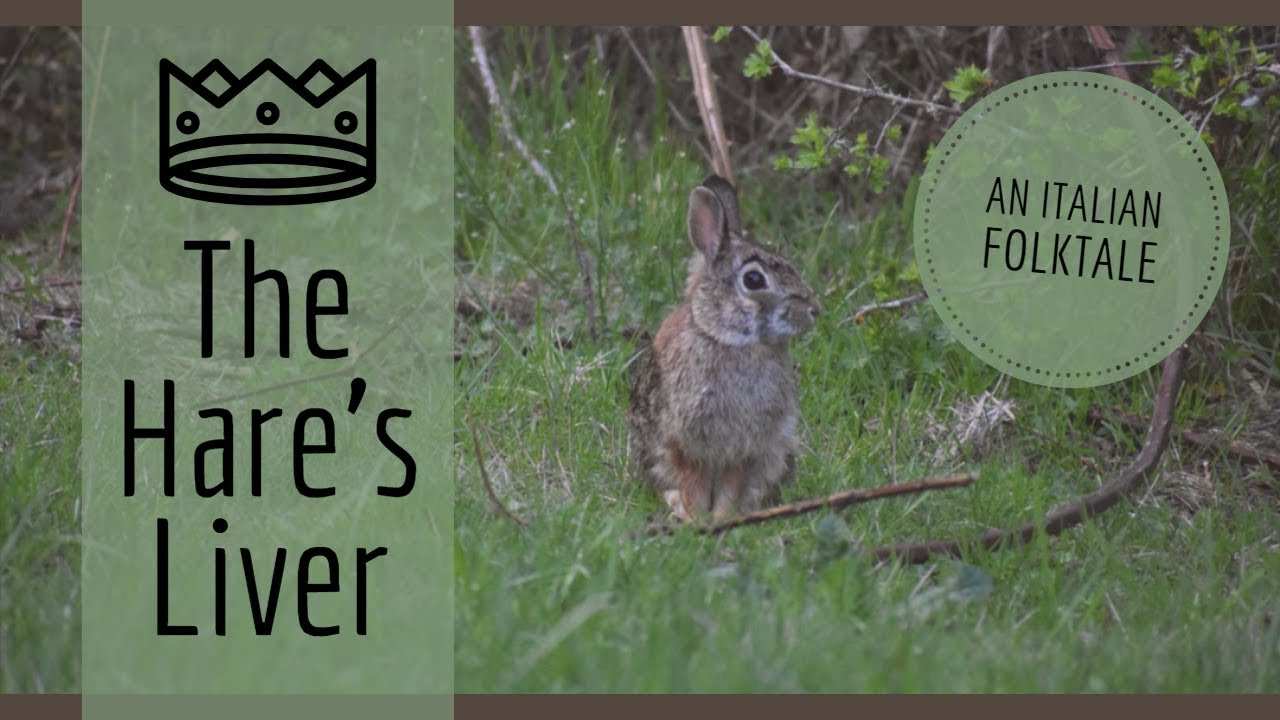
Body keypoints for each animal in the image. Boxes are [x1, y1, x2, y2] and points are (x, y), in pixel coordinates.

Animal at [627, 174, 820, 522]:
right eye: (754, 280)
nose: (815, 310)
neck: (725, 337)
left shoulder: (746, 448)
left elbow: (732, 485)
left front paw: (722, 519)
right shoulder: (684, 442)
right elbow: (693, 483)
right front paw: (695, 520)